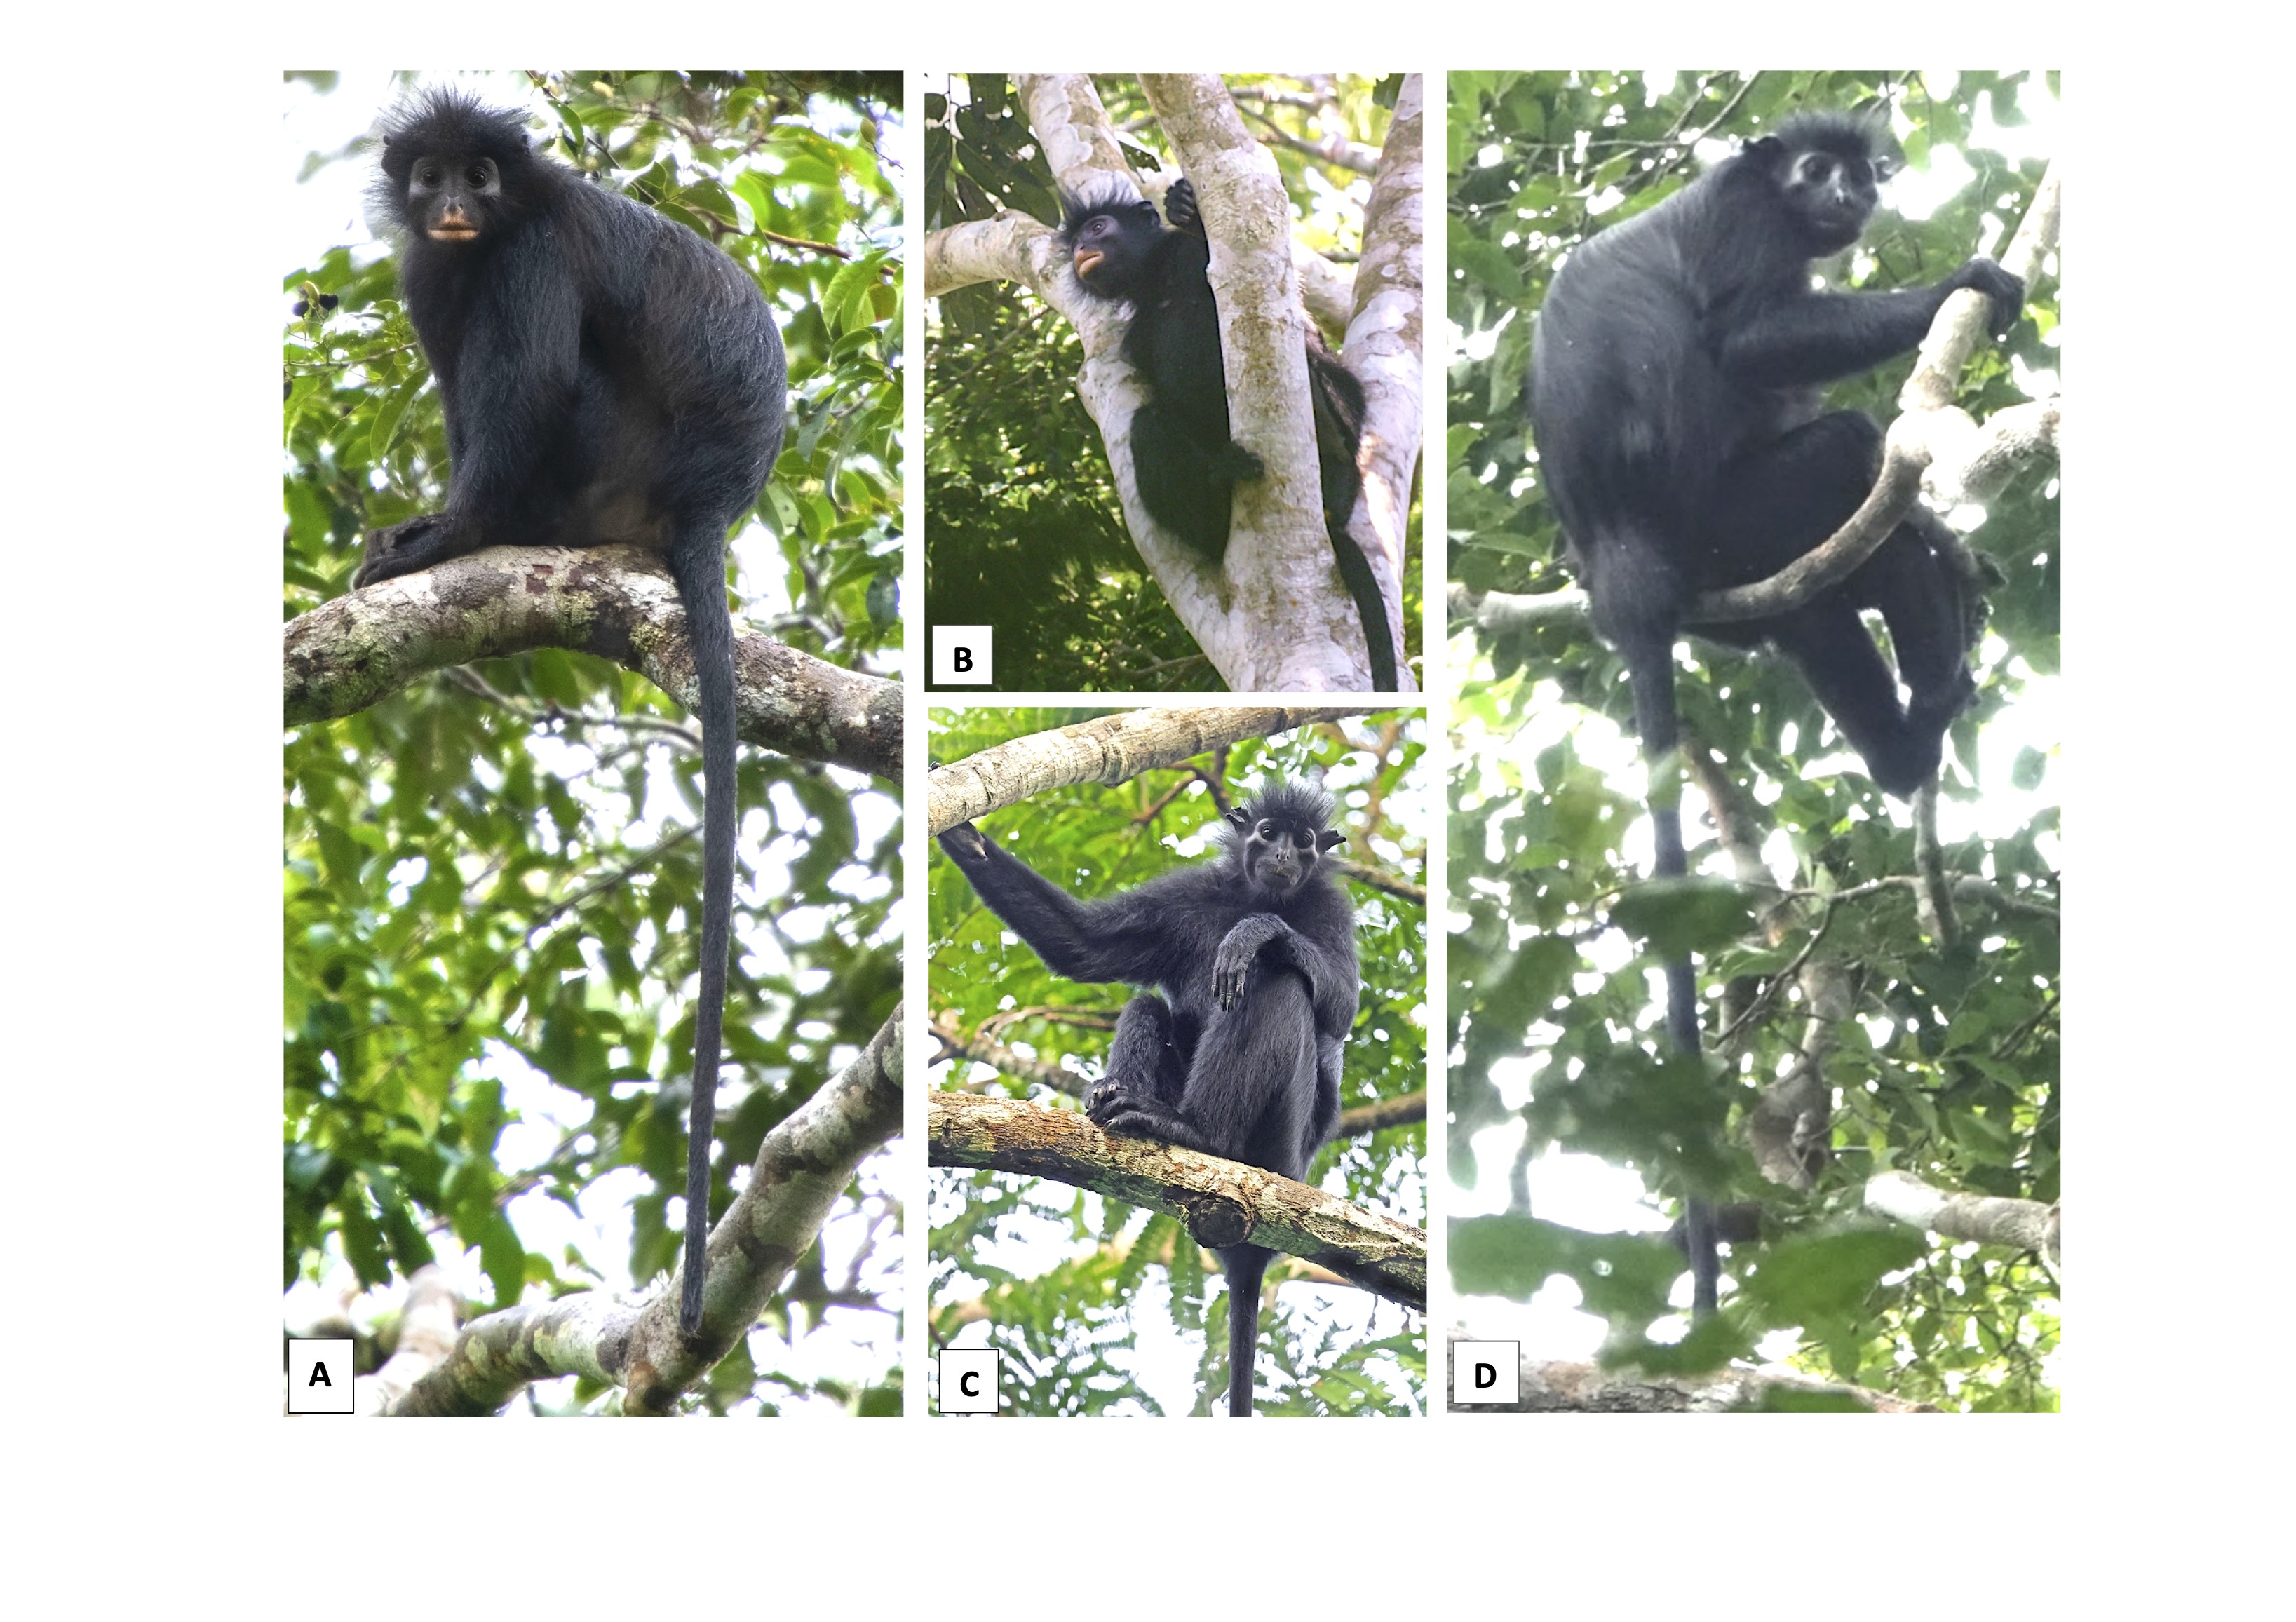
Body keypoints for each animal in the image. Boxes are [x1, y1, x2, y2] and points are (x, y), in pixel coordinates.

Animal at [354, 88, 788, 1336]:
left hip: (607, 460)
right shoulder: (429, 269)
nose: (454, 203)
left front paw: (447, 536)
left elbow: (528, 384)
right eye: (435, 175)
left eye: (484, 177)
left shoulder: (530, 254)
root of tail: (705, 504)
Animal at [937, 782, 1359, 1414]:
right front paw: (967, 838)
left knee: (1278, 982)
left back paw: (1198, 1131)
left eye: (1304, 840)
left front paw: (1257, 931)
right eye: (1268, 833)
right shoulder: (1188, 897)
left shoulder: (1333, 908)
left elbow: (1342, 1003)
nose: (1285, 853)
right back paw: (1121, 1099)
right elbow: (1084, 946)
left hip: (1282, 1145)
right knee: (1148, 1004)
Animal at [1059, 178, 1400, 692]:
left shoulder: (1189, 259)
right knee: (1147, 424)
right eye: (1079, 238)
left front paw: (1187, 208)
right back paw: (1221, 480)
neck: (1157, 282)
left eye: (1099, 228)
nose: (1082, 247)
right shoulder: (1135, 337)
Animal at [1526, 111, 2024, 1314]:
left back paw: (1902, 737)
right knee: (1845, 452)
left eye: (1857, 173)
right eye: (1814, 169)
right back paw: (1923, 711)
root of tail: (1621, 564)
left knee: (1813, 614)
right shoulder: (1746, 220)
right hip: (1738, 515)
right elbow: (1750, 345)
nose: (1848, 194)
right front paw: (1963, 281)